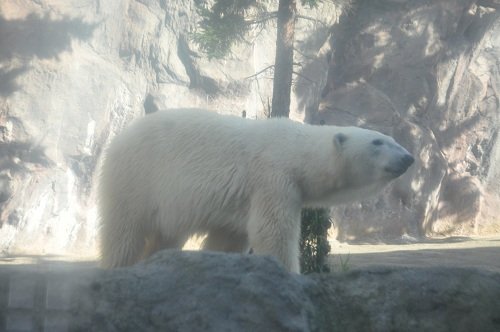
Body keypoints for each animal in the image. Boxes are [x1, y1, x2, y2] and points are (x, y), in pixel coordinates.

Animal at [98, 109, 414, 272]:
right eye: (377, 142)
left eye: (391, 139)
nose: (408, 157)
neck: (295, 149)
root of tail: (119, 138)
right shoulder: (272, 177)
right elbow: (272, 231)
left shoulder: (241, 199)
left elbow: (230, 237)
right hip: (137, 177)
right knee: (125, 231)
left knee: (165, 235)